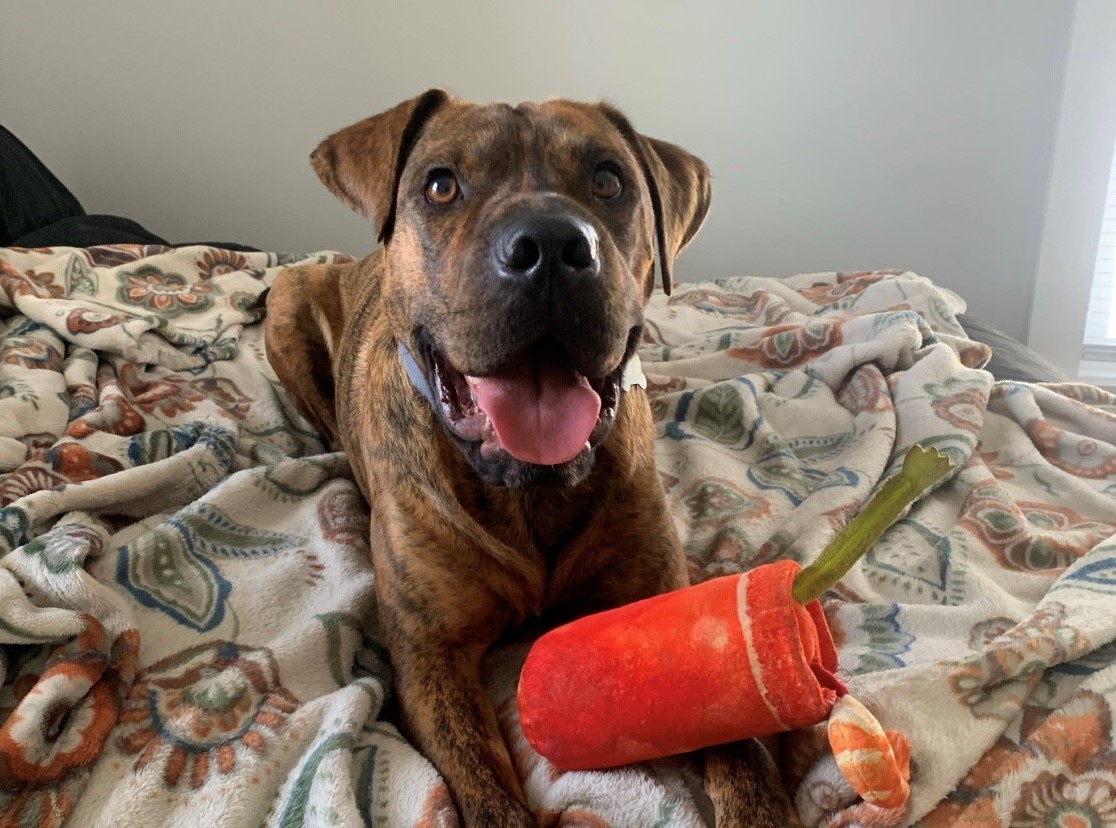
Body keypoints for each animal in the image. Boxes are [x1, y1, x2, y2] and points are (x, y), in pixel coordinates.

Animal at [265, 87, 799, 825]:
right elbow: (483, 784)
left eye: (609, 180)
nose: (549, 244)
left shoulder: (663, 600)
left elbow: (737, 737)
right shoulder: (432, 656)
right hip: (287, 302)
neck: (532, 489)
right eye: (441, 184)